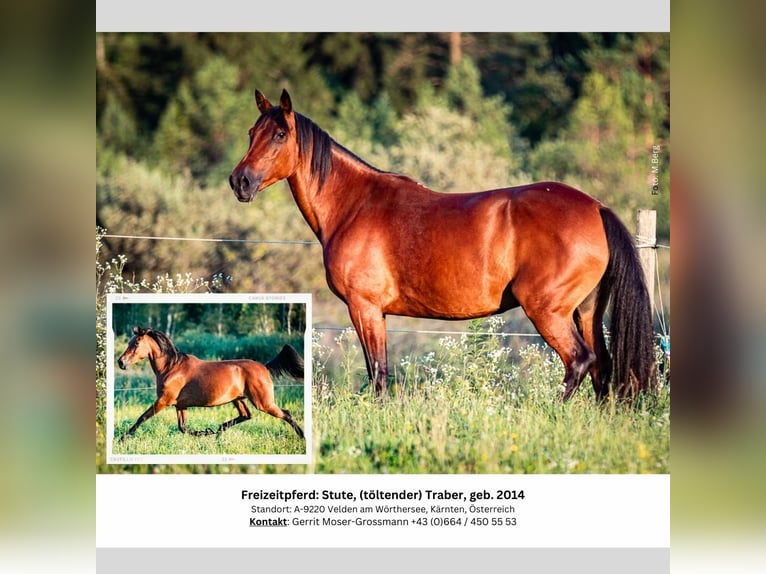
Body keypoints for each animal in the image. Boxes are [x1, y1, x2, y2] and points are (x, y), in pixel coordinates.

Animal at [115, 328, 304, 440]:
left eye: (136, 343)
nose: (121, 362)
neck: (172, 367)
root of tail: (264, 367)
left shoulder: (163, 401)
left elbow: (142, 417)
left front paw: (123, 438)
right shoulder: (180, 406)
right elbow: (182, 427)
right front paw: (204, 432)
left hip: (263, 402)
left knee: (286, 414)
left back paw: (303, 437)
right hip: (239, 399)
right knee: (246, 415)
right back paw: (217, 430)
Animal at [231, 91, 656, 404]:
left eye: (280, 136)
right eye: (251, 132)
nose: (240, 182)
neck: (354, 205)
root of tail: (596, 207)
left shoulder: (363, 308)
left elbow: (378, 373)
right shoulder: (375, 313)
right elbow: (379, 371)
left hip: (548, 311)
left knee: (580, 362)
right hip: (586, 311)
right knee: (601, 368)